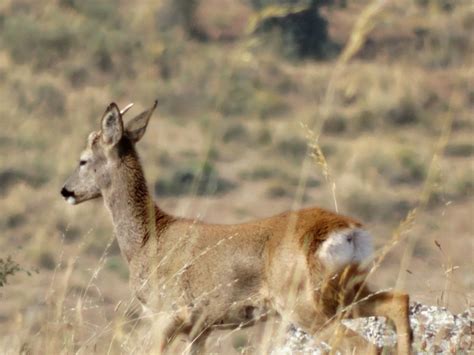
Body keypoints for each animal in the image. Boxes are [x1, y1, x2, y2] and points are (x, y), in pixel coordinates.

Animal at [62, 101, 412, 354]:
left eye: (83, 160)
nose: (66, 191)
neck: (147, 239)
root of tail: (348, 232)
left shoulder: (167, 312)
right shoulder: (200, 328)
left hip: (304, 301)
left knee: (368, 345)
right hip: (344, 289)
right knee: (398, 301)